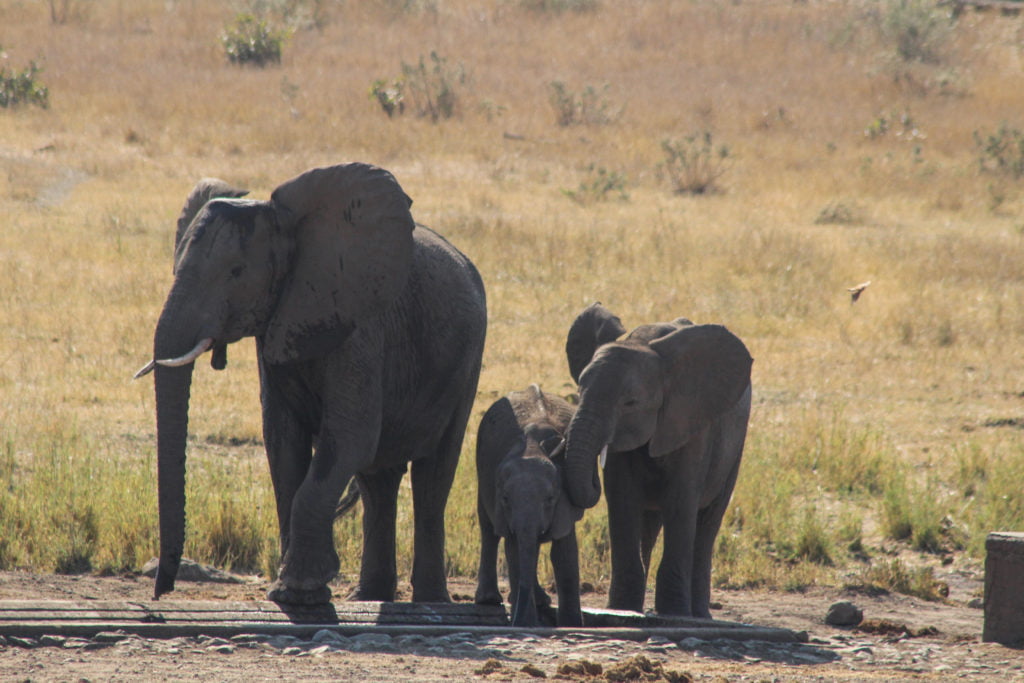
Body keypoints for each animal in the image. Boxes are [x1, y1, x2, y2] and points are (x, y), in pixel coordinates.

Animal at [135, 162, 487, 606]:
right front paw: (290, 591)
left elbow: (348, 440)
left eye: (236, 273)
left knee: (433, 475)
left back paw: (429, 601)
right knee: (378, 481)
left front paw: (299, 591)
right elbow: (283, 444)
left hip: (465, 364)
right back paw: (368, 597)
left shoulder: (358, 326)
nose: (162, 590)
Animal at [474, 385, 583, 627]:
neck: (534, 446)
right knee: (488, 527)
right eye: (505, 498)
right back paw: (489, 600)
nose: (515, 622)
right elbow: (514, 549)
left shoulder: (565, 501)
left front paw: (570, 625)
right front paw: (527, 624)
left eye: (550, 499)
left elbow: (564, 553)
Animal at [561, 303, 752, 618]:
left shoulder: (691, 421)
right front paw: (622, 609)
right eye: (579, 391)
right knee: (648, 524)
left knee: (708, 523)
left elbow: (680, 499)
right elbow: (623, 499)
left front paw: (674, 612)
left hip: (735, 448)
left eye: (630, 403)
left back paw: (698, 614)